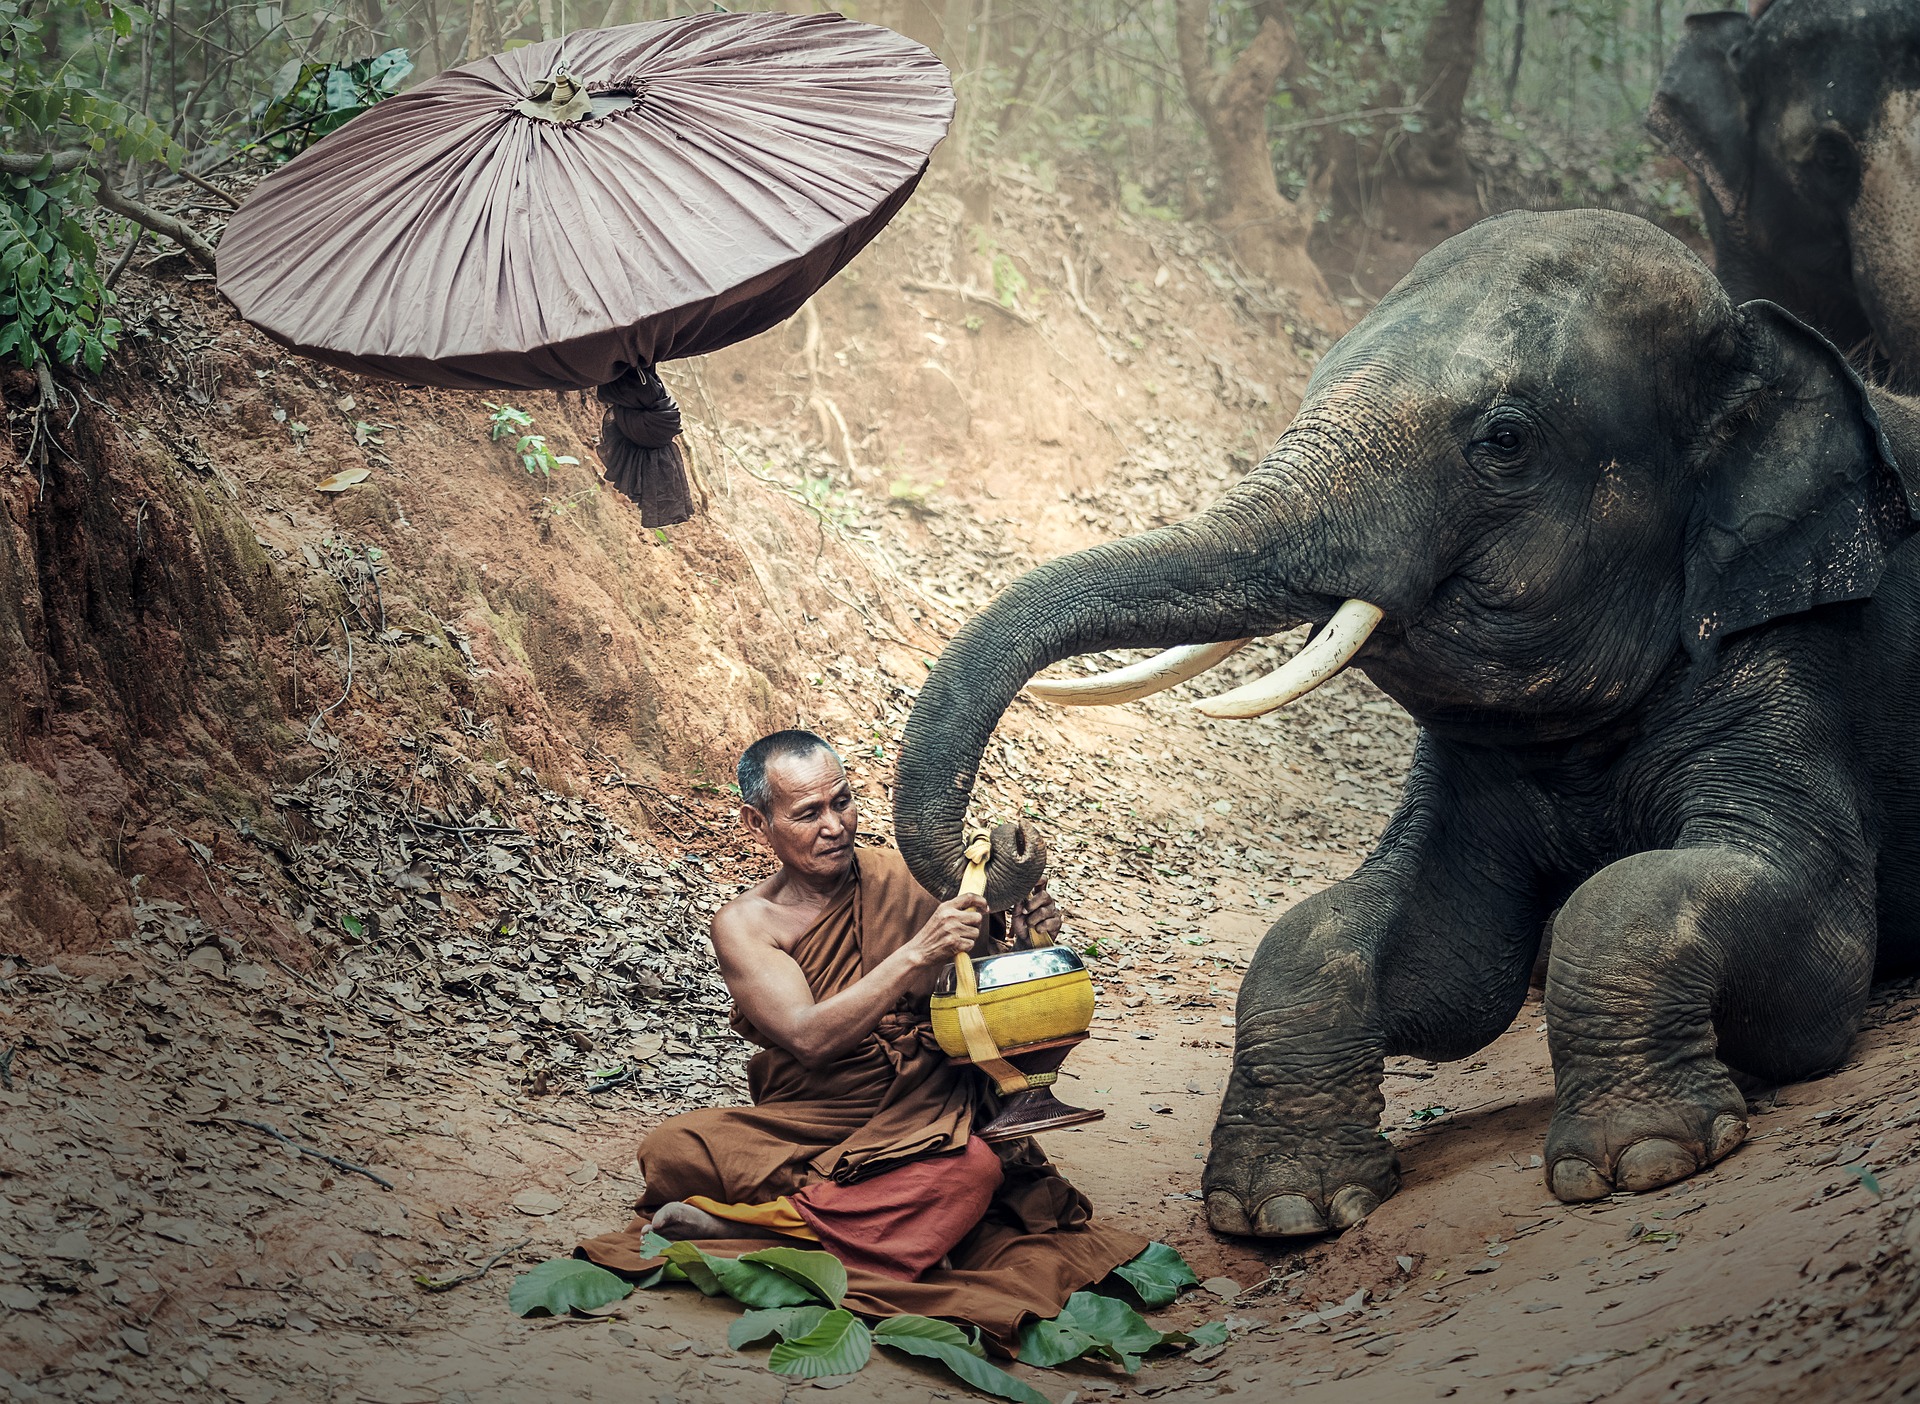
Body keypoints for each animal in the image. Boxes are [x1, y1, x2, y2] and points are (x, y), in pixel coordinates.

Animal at [889, 208, 1920, 1237]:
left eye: (1505, 439)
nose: (1006, 840)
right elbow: (1418, 952)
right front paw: (1284, 1210)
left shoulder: (1804, 658)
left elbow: (1790, 941)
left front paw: (1642, 1161)